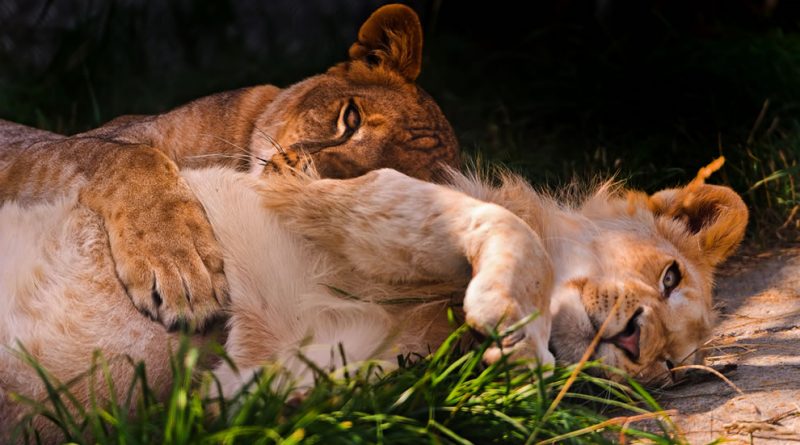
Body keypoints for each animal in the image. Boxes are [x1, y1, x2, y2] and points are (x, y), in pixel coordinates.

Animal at [0, 155, 747, 441]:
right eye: (670, 275)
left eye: (671, 370)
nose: (640, 341)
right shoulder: (334, 197)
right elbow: (514, 233)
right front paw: (511, 323)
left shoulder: (343, 355)